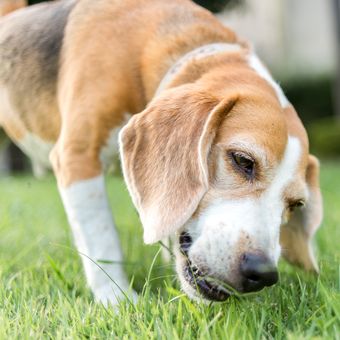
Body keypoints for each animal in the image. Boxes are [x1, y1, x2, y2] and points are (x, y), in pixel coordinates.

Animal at [0, 0, 322, 304]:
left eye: (295, 205)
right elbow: (102, 237)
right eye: (243, 161)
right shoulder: (78, 156)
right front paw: (117, 299)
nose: (262, 273)